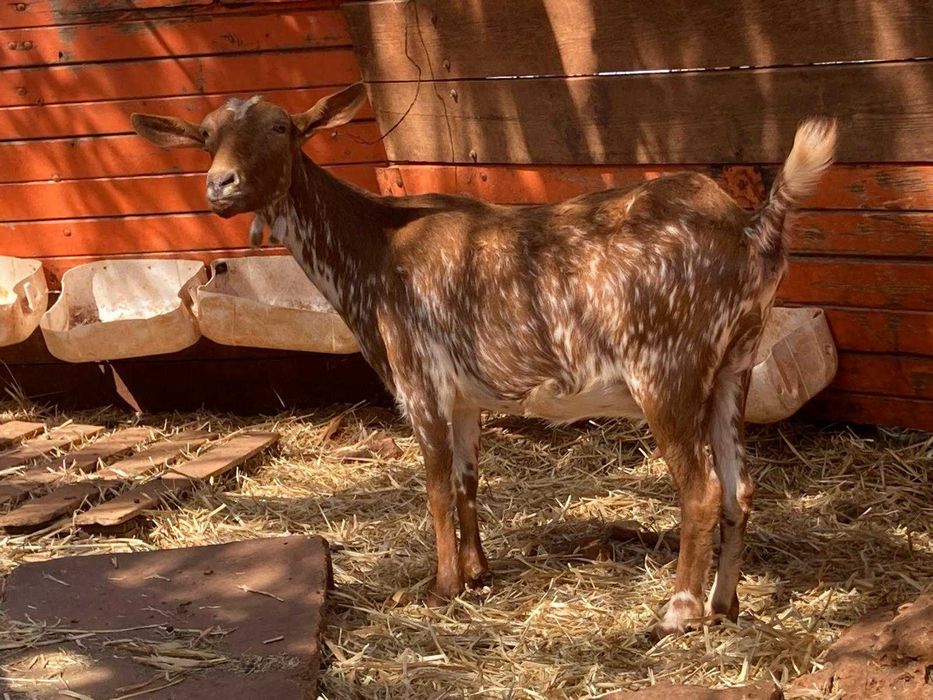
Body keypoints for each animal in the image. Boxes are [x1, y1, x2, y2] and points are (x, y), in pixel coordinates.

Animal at [132, 84, 837, 636]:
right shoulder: (466, 396)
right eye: (205, 136)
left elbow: (437, 485)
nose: (220, 185)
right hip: (733, 366)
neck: (375, 246)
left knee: (700, 487)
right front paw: (478, 574)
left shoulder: (419, 381)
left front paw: (437, 587)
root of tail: (751, 230)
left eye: (281, 127)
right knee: (740, 485)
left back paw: (678, 612)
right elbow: (470, 481)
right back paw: (725, 606)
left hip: (665, 365)